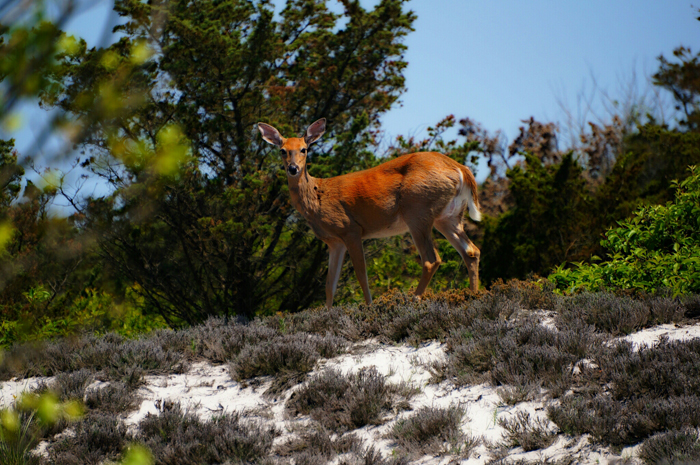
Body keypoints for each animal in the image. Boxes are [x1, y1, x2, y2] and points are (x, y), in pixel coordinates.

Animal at [258, 118, 481, 307]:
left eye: (304, 149)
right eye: (282, 150)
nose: (293, 169)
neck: (317, 196)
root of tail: (461, 169)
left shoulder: (350, 229)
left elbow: (361, 274)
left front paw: (369, 306)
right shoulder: (335, 242)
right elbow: (330, 285)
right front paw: (328, 314)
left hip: (418, 210)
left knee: (431, 259)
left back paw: (413, 300)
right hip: (448, 216)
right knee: (471, 251)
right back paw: (472, 296)